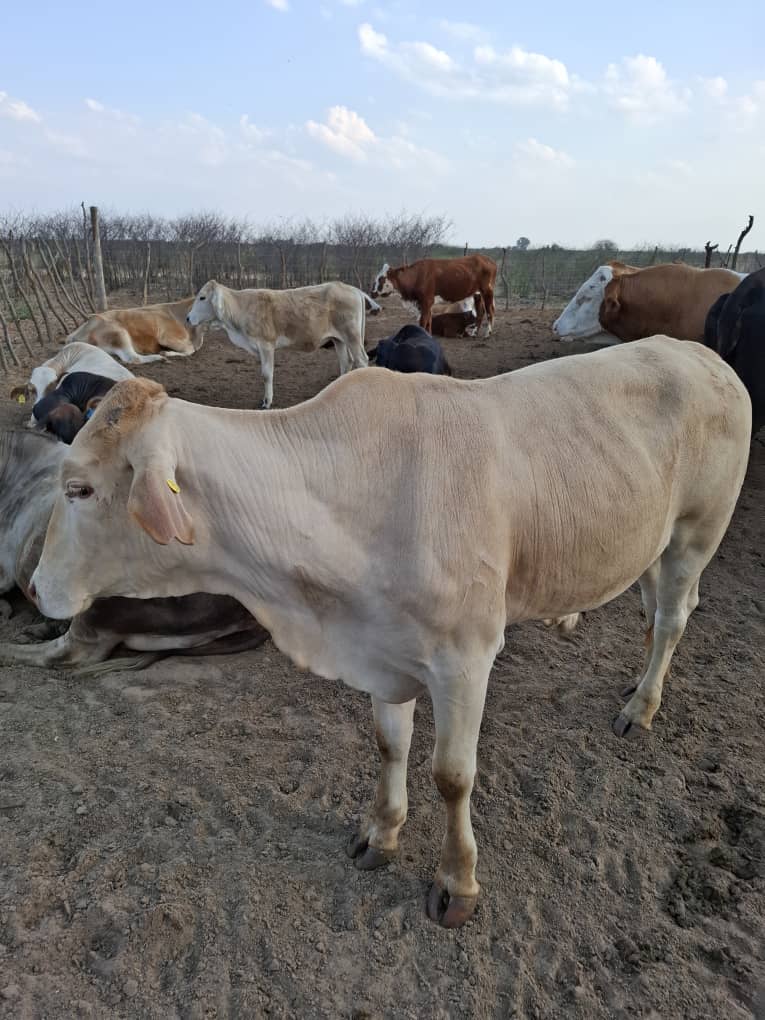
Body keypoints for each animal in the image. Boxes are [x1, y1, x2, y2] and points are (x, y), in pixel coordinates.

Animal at [28, 337, 751, 928]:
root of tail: (698, 352)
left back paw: (642, 705)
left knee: (673, 615)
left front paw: (457, 883)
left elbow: (452, 775)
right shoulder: (381, 647)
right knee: (653, 605)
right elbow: (389, 745)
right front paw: (381, 834)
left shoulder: (466, 657)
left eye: (80, 489)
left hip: (697, 531)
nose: (35, 589)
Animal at [65, 298, 204, 365]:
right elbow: (190, 349)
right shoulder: (167, 337)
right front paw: (167, 353)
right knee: (133, 358)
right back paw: (159, 357)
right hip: (119, 332)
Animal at [186, 280, 372, 409]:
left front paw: (267, 402)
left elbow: (267, 374)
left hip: (352, 336)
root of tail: (351, 288)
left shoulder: (266, 345)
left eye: (202, 297)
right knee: (346, 362)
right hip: (339, 339)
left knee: (361, 360)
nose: (187, 318)